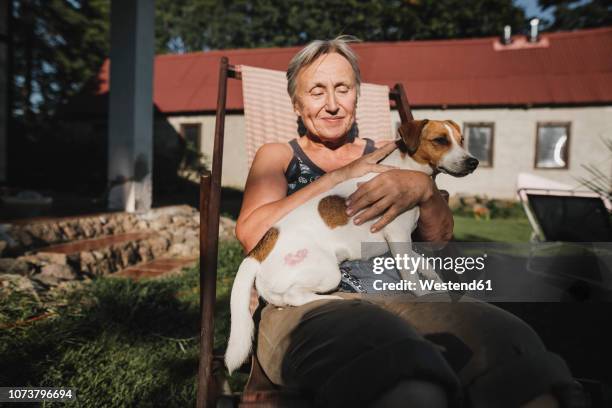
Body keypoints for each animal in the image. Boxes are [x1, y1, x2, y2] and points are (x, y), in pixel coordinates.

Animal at [225, 118, 478, 372]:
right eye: (440, 140)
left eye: (462, 140)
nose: (473, 162)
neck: (406, 168)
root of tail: (257, 252)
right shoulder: (398, 237)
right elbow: (412, 278)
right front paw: (425, 293)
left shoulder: (403, 243)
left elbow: (423, 263)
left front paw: (437, 283)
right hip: (328, 273)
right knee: (293, 296)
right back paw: (331, 299)